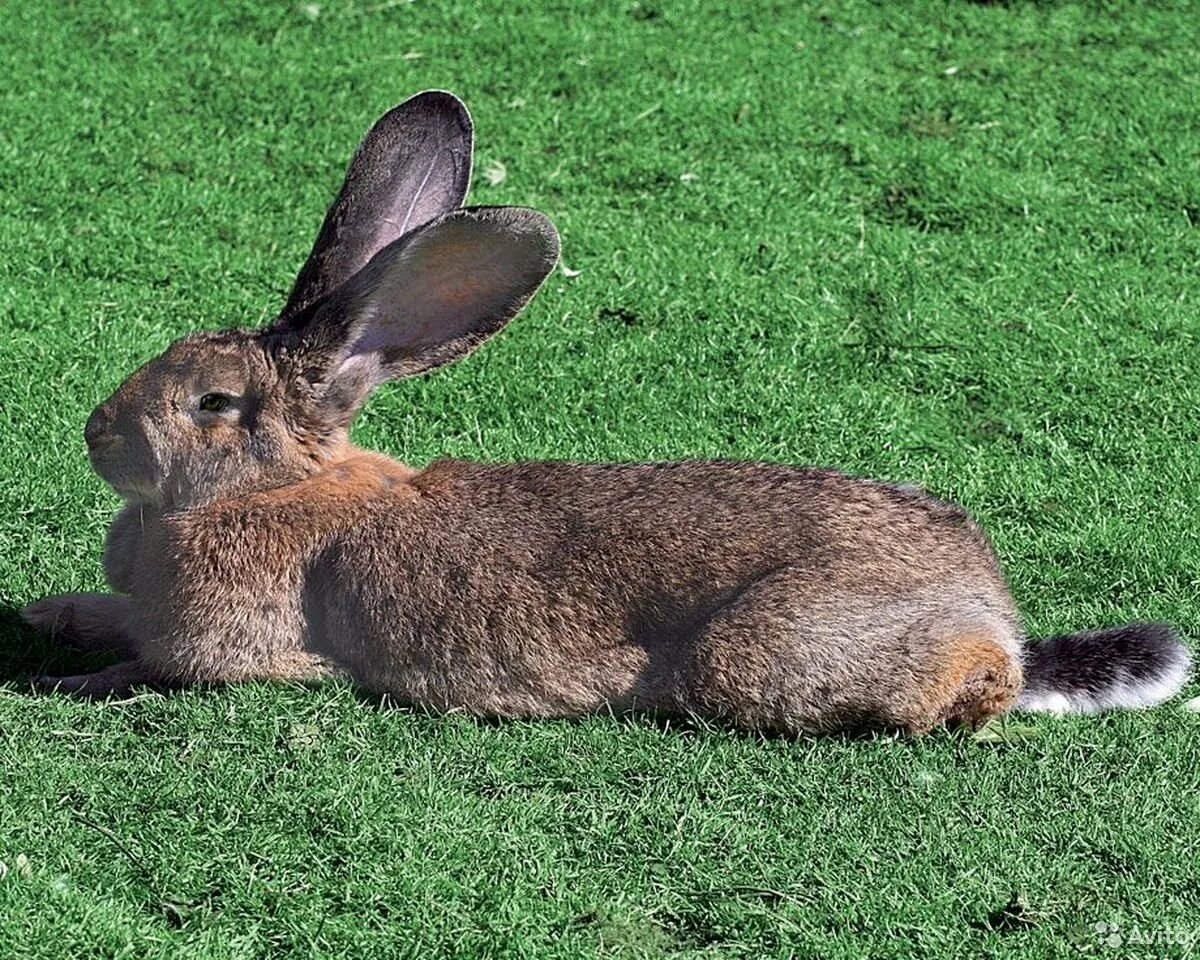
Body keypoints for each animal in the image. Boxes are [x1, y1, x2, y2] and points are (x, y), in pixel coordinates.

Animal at [18, 91, 1190, 734]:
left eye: (213, 402)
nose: (95, 434)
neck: (276, 487)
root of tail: (990, 605)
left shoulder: (229, 656)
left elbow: (153, 671)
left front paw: (76, 683)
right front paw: (50, 615)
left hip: (763, 656)